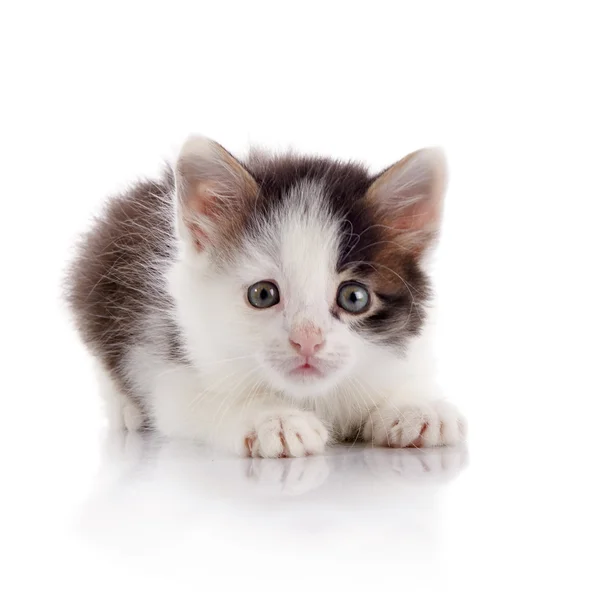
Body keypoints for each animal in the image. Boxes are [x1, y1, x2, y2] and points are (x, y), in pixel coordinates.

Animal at [68, 135, 466, 454]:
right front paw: (273, 419)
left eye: (354, 297)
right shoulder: (169, 361)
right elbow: (202, 399)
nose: (308, 341)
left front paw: (416, 406)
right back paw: (125, 410)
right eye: (262, 294)